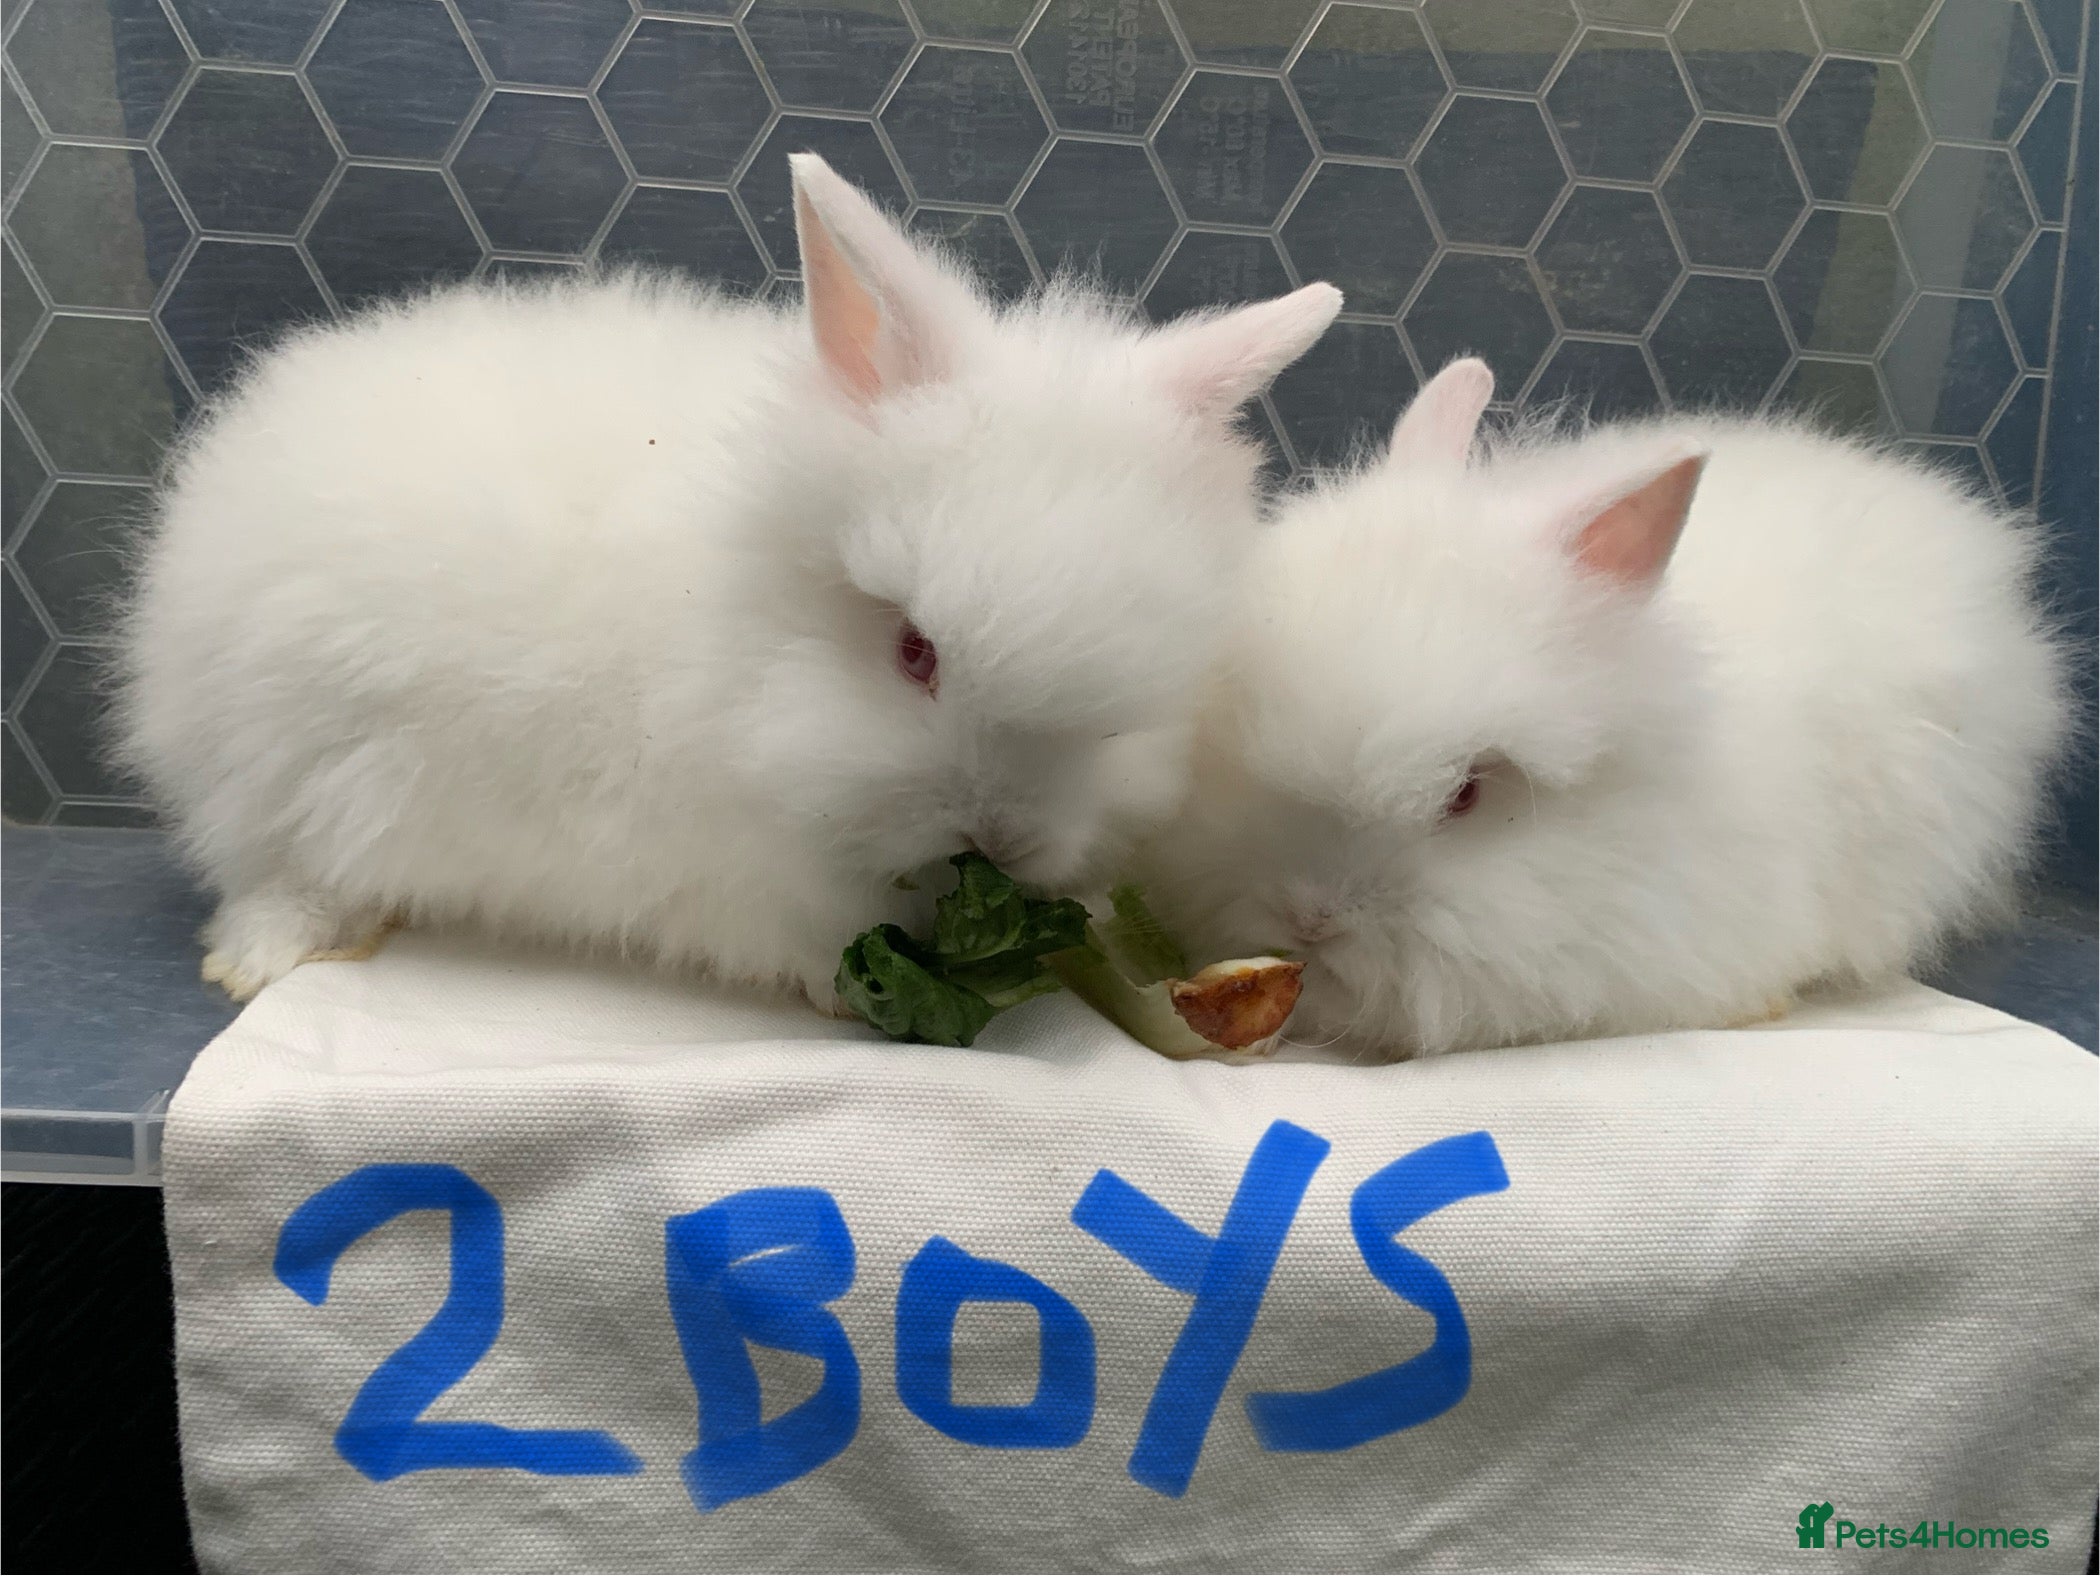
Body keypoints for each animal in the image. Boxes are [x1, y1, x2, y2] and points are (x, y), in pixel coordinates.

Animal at [115, 153, 1343, 1005]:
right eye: (914, 652)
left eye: (1121, 720)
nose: (999, 844)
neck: (743, 633)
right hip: (287, 764)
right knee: (276, 867)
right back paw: (265, 960)